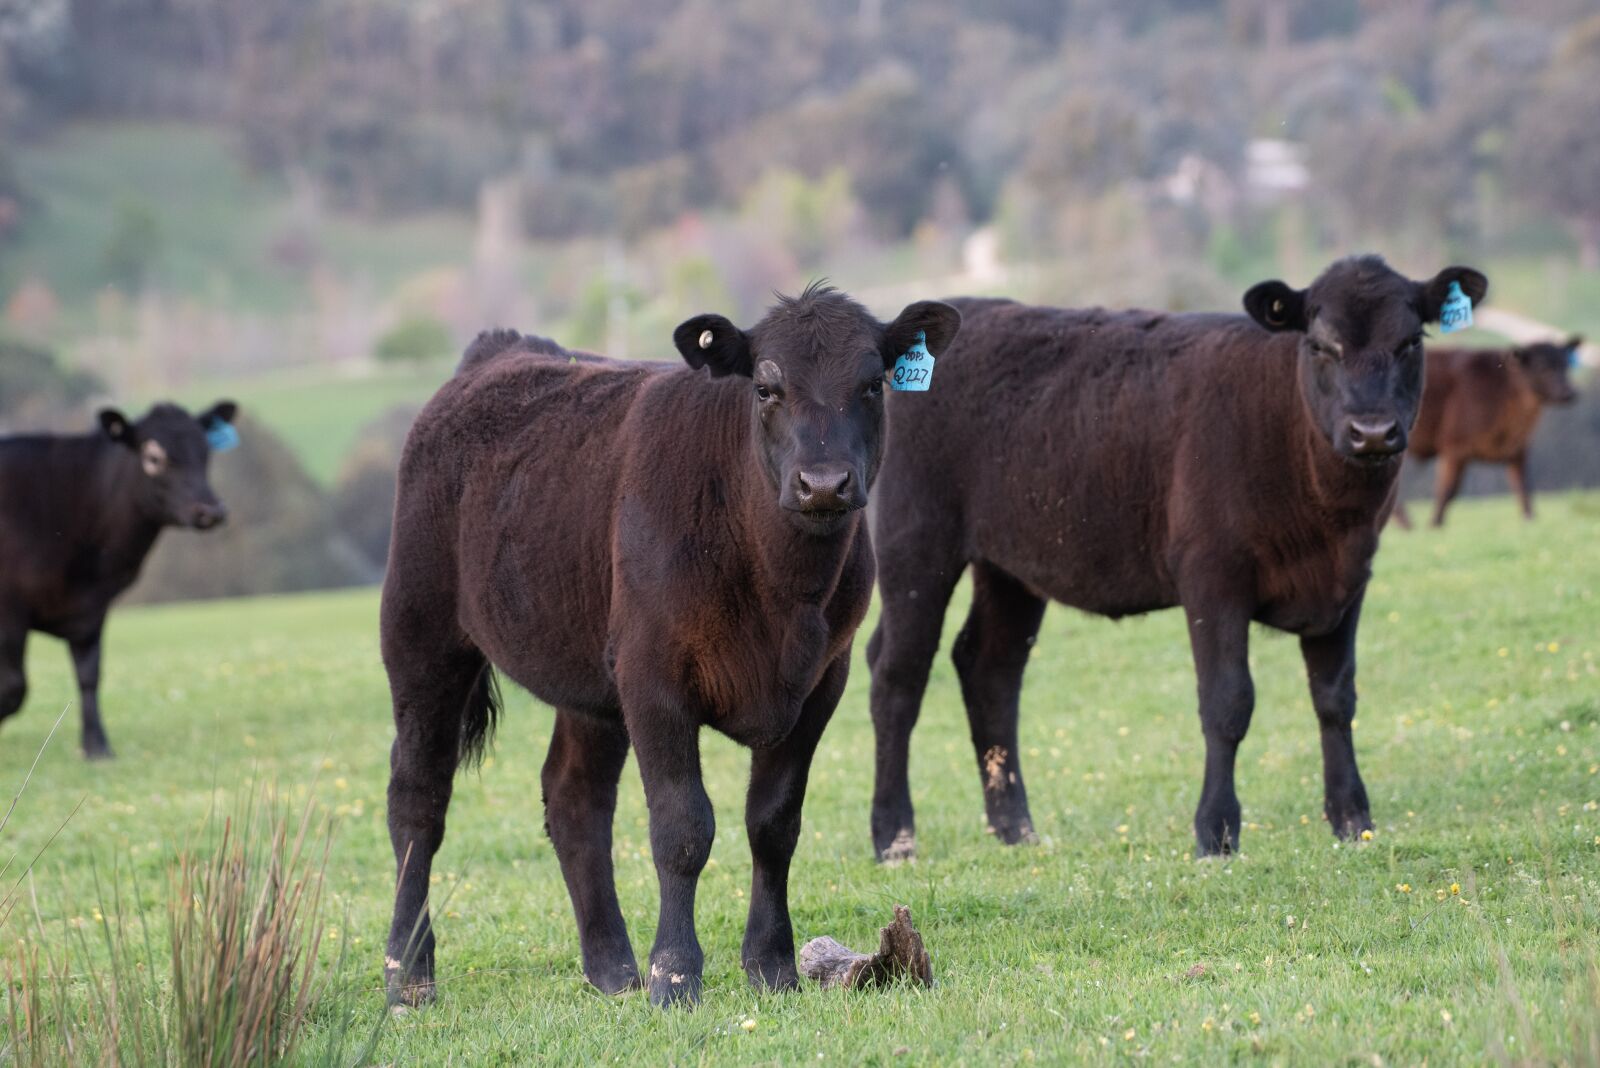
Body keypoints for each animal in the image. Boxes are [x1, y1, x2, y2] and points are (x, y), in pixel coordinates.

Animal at [0, 401, 238, 759]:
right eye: (153, 457)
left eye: (205, 450)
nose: (210, 510)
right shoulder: (11, 609)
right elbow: (14, 686)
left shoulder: (92, 609)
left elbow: (89, 675)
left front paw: (97, 747)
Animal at [380, 285, 961, 1010]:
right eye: (766, 387)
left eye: (873, 384)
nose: (824, 483)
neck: (781, 590)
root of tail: (501, 351)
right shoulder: (654, 678)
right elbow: (684, 828)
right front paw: (676, 974)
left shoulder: (823, 681)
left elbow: (774, 824)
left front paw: (772, 964)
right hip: (422, 634)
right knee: (418, 800)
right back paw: (409, 974)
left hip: (590, 680)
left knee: (574, 800)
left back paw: (611, 967)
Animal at [864, 255, 1487, 861]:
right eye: (1319, 345)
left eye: (1411, 342)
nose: (1372, 432)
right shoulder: (1212, 575)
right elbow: (1227, 702)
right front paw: (1216, 832)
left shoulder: (1349, 581)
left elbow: (1336, 698)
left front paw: (1352, 818)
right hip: (913, 542)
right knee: (897, 672)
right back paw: (894, 836)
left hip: (1011, 564)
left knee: (990, 668)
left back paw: (1016, 828)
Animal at [1393, 337, 1582, 528]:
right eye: (1543, 367)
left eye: (1565, 364)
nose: (1569, 393)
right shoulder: (1455, 448)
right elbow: (1447, 490)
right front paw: (1435, 524)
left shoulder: (1518, 451)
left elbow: (1523, 487)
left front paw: (1530, 520)